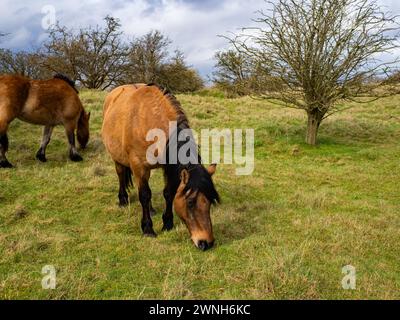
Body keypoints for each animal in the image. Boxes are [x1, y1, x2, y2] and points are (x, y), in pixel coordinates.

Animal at [101, 83, 220, 250]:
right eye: (190, 202)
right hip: (117, 158)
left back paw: (151, 209)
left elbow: (168, 193)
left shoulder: (165, 166)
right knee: (121, 175)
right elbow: (144, 194)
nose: (206, 242)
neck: (150, 121)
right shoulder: (138, 167)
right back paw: (123, 199)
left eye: (209, 201)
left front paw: (167, 224)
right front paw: (148, 229)